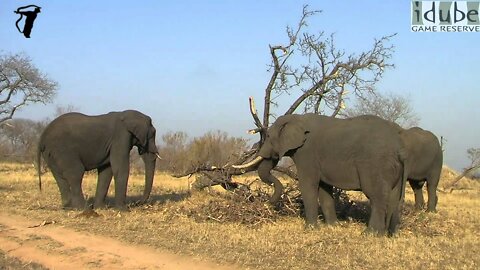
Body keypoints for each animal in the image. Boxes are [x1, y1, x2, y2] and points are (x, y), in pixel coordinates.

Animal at [234, 113, 406, 235]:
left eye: (269, 136)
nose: (264, 204)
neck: (297, 118)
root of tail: (399, 145)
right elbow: (324, 190)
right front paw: (333, 227)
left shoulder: (307, 153)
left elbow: (308, 185)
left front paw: (310, 229)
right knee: (393, 196)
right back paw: (389, 234)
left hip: (375, 163)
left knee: (376, 195)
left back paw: (370, 234)